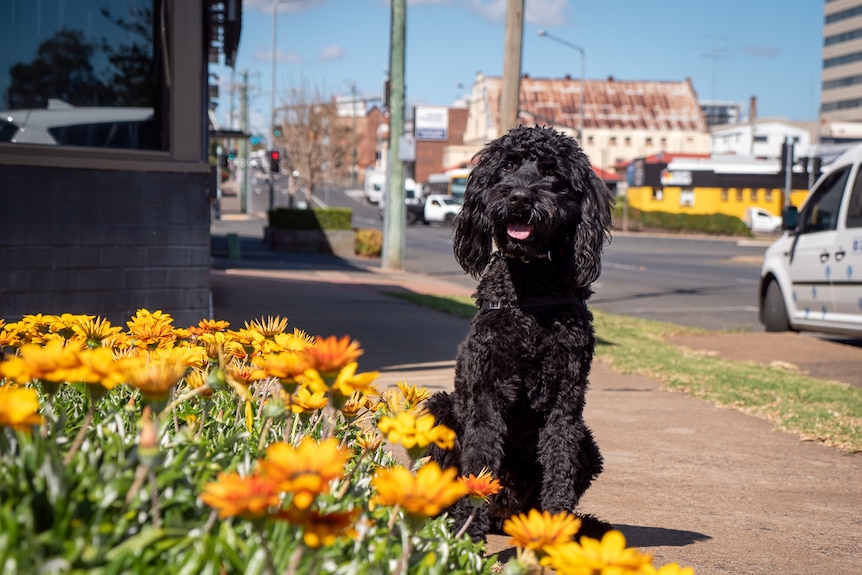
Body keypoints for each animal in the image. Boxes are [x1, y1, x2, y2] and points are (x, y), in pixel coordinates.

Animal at [426, 125, 616, 540]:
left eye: (552, 172)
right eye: (508, 166)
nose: (519, 197)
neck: (530, 292)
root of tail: (506, 513)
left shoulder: (565, 399)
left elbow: (559, 466)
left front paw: (558, 531)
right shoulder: (486, 391)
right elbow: (480, 461)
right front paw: (467, 534)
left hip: (588, 444)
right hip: (440, 409)